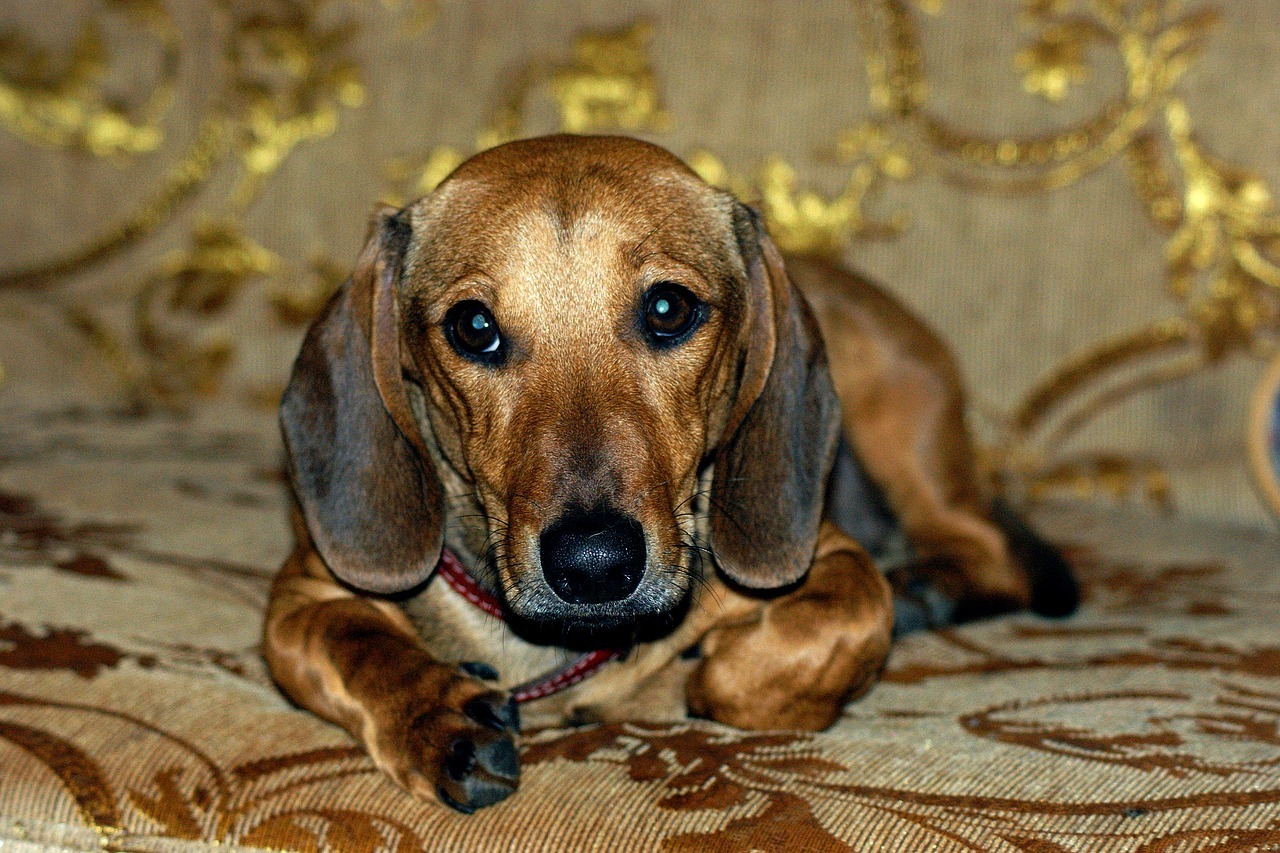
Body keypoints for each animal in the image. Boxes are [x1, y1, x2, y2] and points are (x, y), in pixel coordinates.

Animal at [264, 133, 1075, 809]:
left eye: (667, 308)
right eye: (473, 326)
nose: (594, 564)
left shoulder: (834, 558)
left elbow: (830, 622)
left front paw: (703, 672)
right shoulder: (298, 602)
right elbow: (350, 640)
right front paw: (435, 716)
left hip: (901, 427)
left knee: (985, 550)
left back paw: (921, 591)